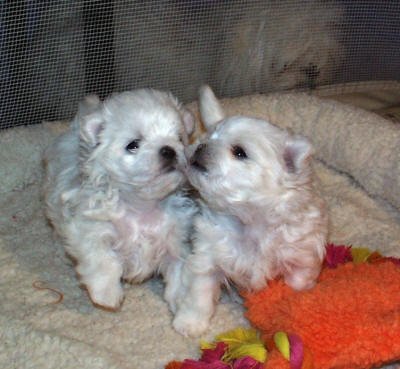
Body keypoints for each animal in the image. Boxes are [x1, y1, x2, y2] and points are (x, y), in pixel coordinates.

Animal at [43, 89, 197, 310]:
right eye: (133, 145)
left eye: (179, 138)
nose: (169, 149)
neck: (142, 206)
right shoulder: (90, 228)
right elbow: (103, 260)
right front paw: (107, 295)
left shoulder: (175, 240)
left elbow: (179, 271)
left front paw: (183, 302)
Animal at [173, 86, 328, 336]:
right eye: (210, 135)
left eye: (239, 152)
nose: (200, 145)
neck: (248, 220)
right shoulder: (207, 255)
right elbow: (199, 295)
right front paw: (189, 323)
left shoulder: (301, 255)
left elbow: (297, 281)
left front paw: (293, 304)